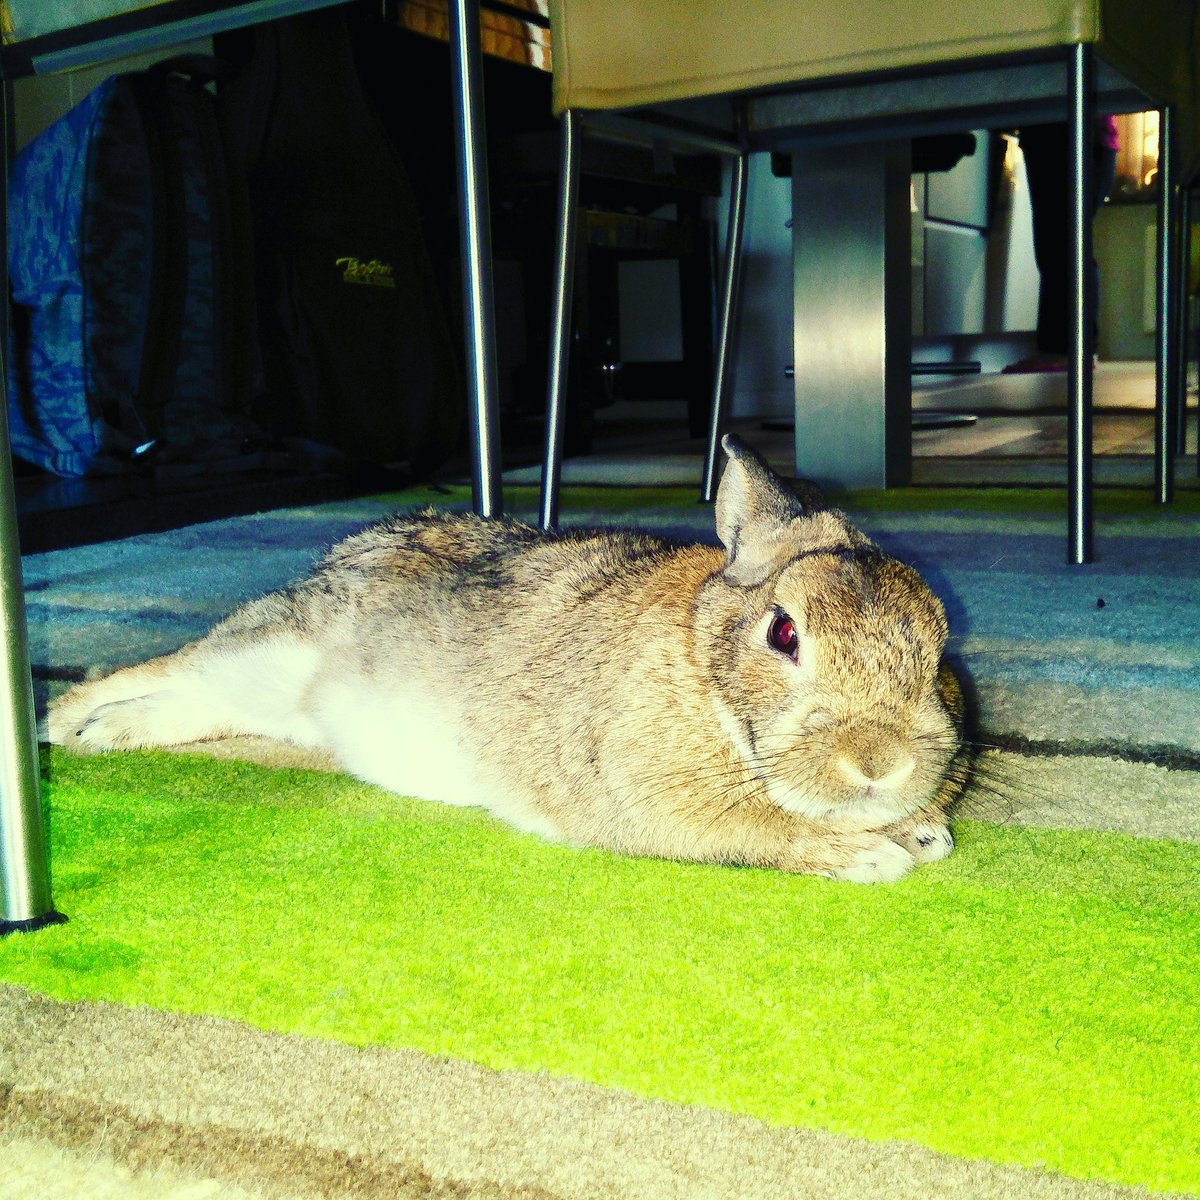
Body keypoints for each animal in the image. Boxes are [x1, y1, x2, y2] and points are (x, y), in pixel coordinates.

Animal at [48, 434, 969, 883]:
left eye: (939, 649)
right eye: (784, 634)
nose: (880, 763)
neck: (701, 666)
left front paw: (919, 829)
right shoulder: (643, 792)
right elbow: (756, 828)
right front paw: (876, 851)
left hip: (274, 699)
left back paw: (106, 736)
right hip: (275, 647)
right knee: (165, 669)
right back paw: (62, 725)